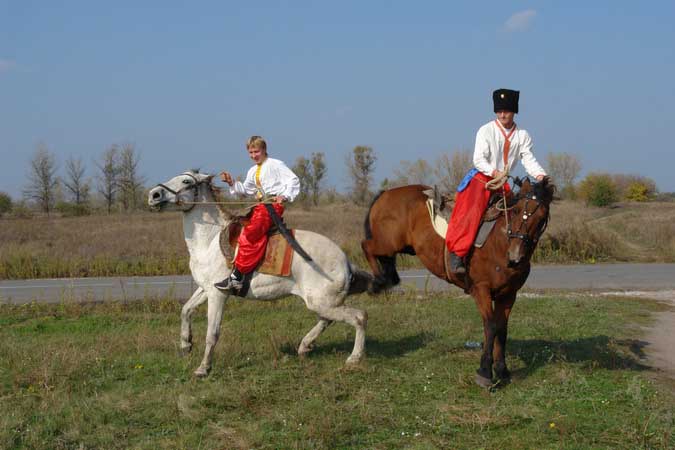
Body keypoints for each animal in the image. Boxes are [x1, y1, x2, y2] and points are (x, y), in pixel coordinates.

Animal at [148, 170, 372, 377]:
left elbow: (212, 333)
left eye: (186, 181)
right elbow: (185, 310)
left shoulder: (218, 294)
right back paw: (304, 346)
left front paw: (203, 368)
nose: (153, 195)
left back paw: (353, 358)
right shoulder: (207, 289)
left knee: (359, 317)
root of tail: (345, 261)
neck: (210, 241)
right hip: (322, 302)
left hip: (321, 301)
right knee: (327, 319)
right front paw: (186, 344)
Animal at [361, 177, 554, 387]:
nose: (515, 255)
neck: (499, 242)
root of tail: (386, 193)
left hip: (396, 248)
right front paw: (485, 372)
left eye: (542, 218)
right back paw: (377, 282)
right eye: (517, 210)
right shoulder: (481, 290)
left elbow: (502, 329)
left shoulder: (509, 294)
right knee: (366, 246)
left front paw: (502, 370)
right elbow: (491, 326)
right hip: (386, 244)